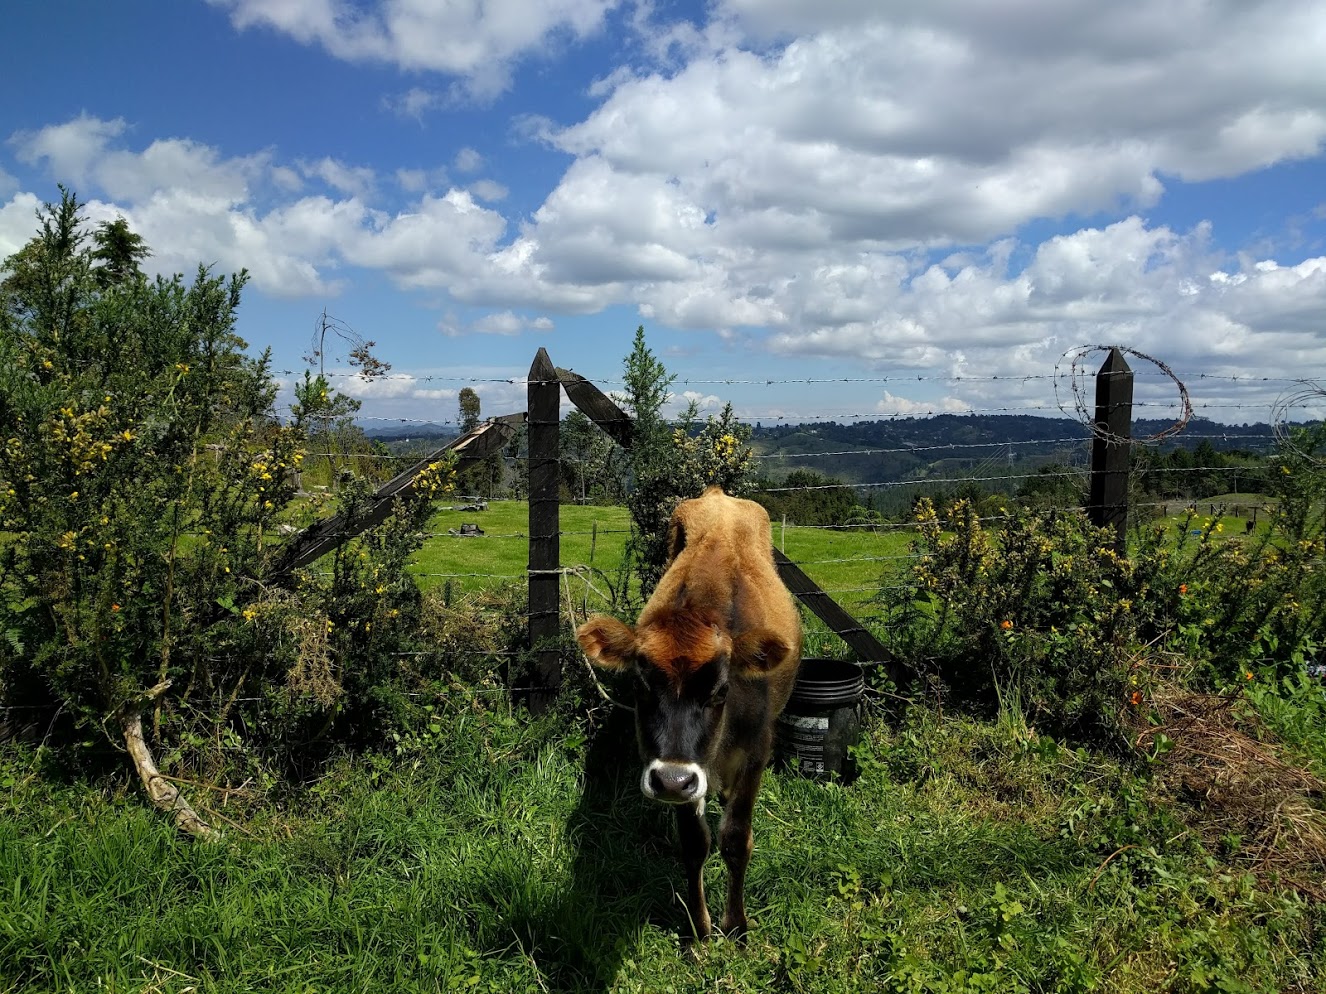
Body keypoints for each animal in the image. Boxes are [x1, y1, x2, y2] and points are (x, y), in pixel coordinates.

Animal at [576, 486, 802, 941]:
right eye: (641, 686)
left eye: (720, 691)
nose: (671, 780)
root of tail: (718, 495)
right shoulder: (681, 773)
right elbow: (695, 842)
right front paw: (700, 927)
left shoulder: (756, 752)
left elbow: (735, 838)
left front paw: (736, 926)